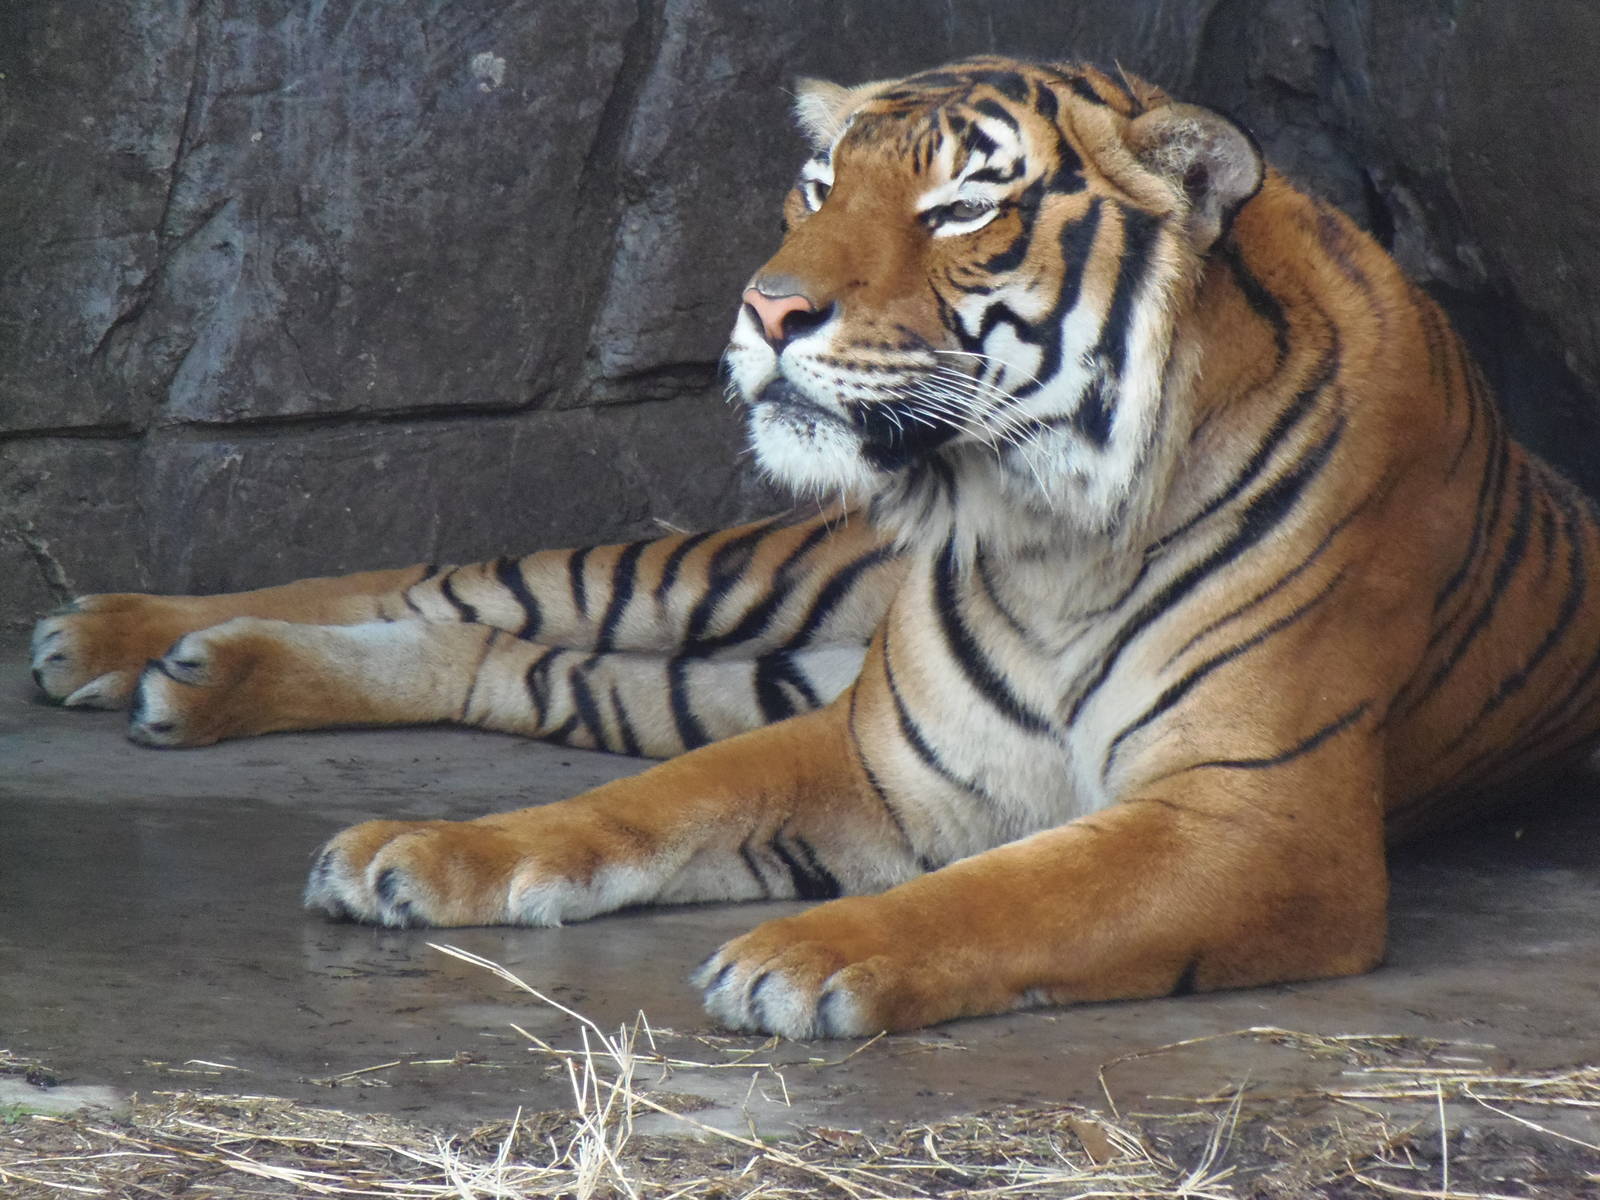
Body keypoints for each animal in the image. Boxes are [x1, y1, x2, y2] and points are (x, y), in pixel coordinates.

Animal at [30, 55, 1600, 1039]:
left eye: (963, 206)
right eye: (815, 185)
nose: (764, 308)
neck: (1045, 532)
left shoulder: (1253, 819)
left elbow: (1015, 887)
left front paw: (804, 954)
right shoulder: (871, 746)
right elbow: (642, 808)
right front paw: (423, 849)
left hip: (723, 662)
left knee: (497, 651)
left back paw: (193, 673)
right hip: (736, 578)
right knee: (439, 582)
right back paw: (123, 637)